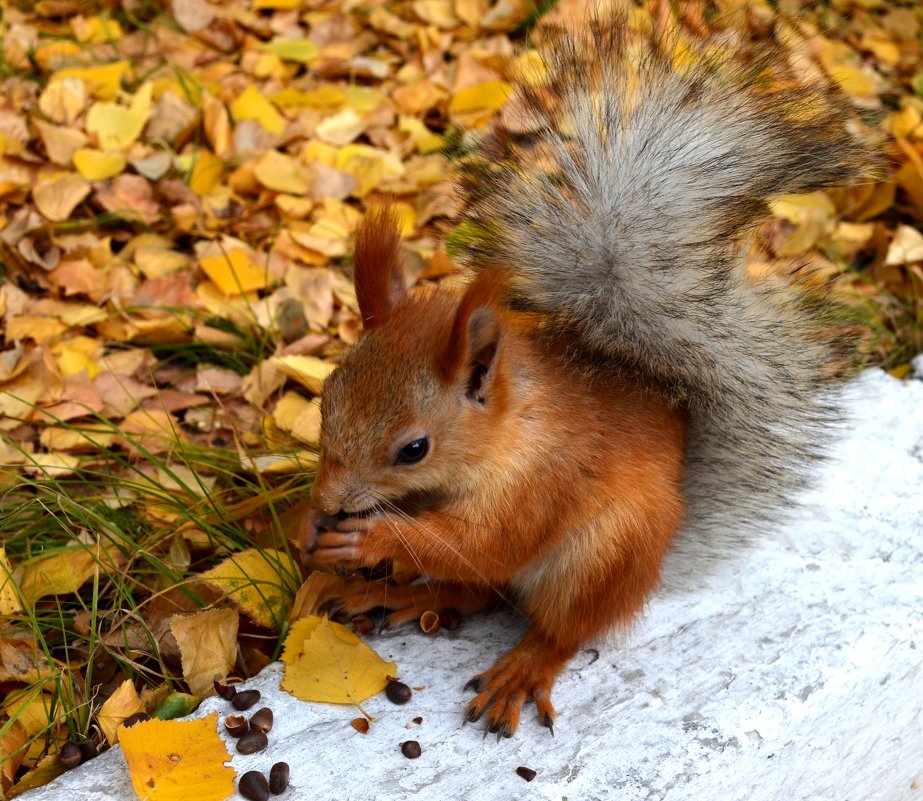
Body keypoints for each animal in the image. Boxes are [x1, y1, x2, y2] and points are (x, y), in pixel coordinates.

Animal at [306, 18, 868, 736]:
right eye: (325, 400)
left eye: (413, 448)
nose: (329, 501)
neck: (509, 433)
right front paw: (314, 524)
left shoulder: (541, 487)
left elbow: (477, 545)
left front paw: (372, 535)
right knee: (479, 591)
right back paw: (394, 596)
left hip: (600, 557)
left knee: (556, 625)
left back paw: (521, 665)